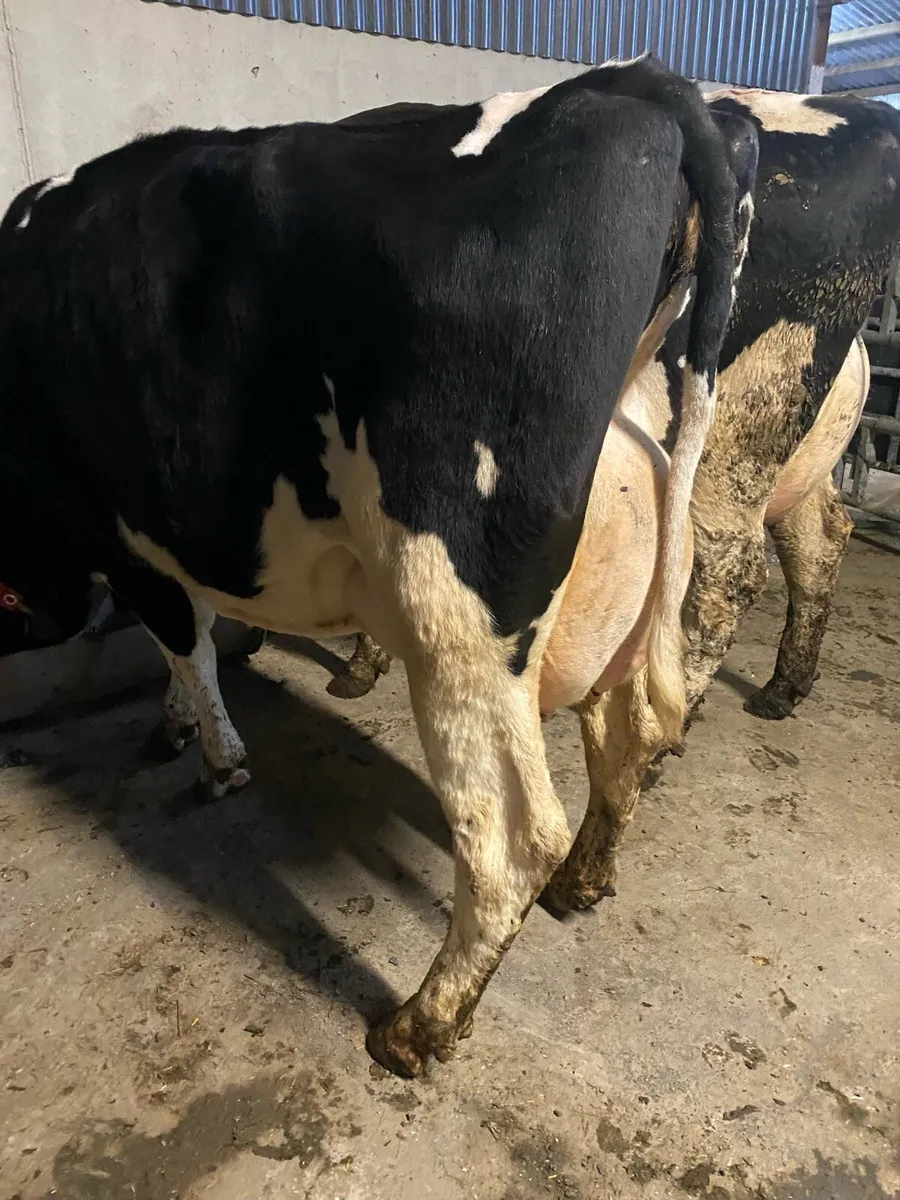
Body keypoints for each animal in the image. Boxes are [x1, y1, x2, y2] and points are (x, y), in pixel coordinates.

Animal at [0, 56, 755, 1076]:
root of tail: (633, 83)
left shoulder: (130, 535)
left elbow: (185, 641)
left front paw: (213, 759)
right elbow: (191, 638)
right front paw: (179, 728)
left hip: (455, 606)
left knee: (511, 839)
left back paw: (418, 1024)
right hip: (622, 553)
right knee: (624, 735)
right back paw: (585, 884)